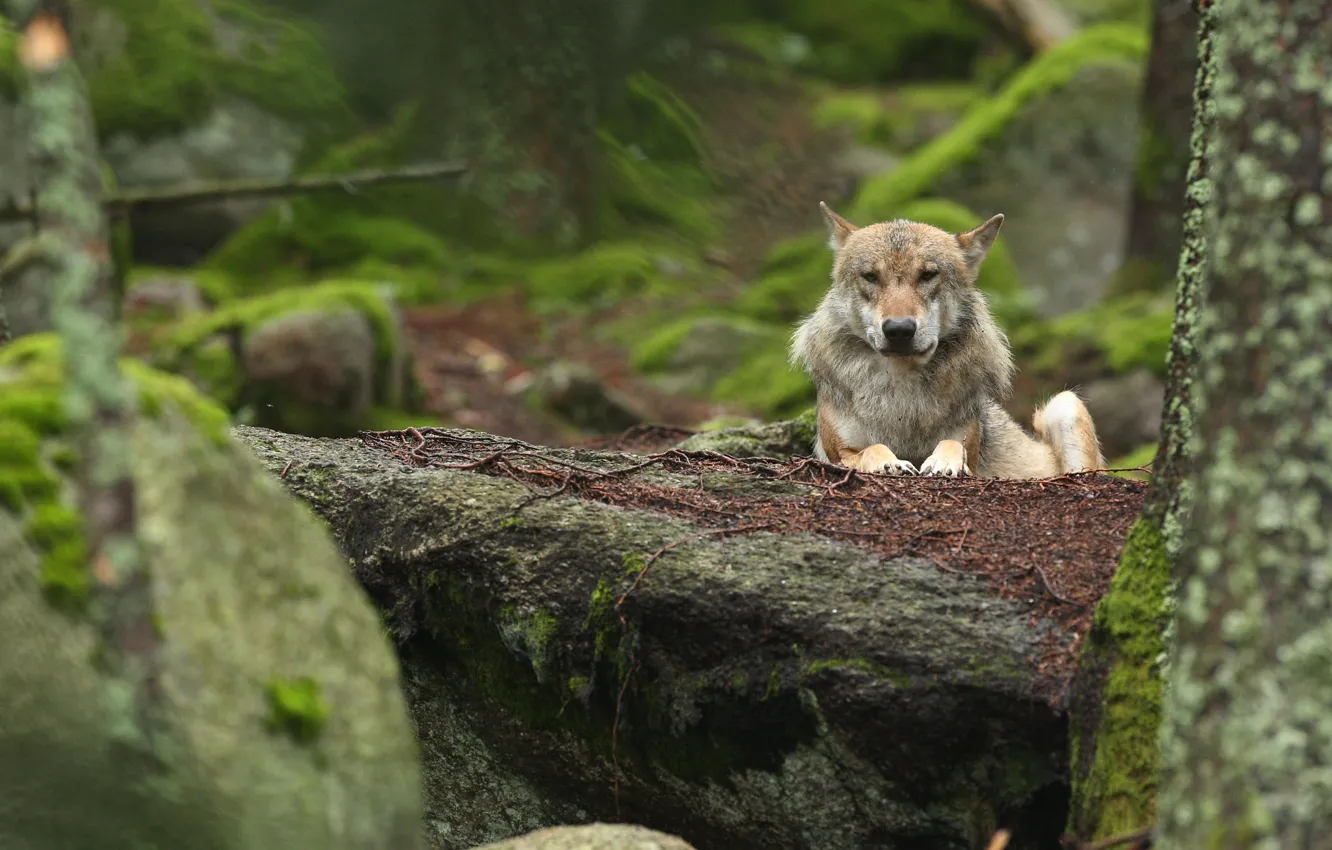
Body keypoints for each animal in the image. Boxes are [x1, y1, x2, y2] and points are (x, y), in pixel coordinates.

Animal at [788, 202, 1104, 479]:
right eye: (870, 276)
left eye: (928, 275)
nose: (899, 329)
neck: (901, 394)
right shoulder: (838, 452)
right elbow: (872, 448)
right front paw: (891, 463)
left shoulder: (967, 441)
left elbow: (953, 445)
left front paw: (944, 462)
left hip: (1065, 403)